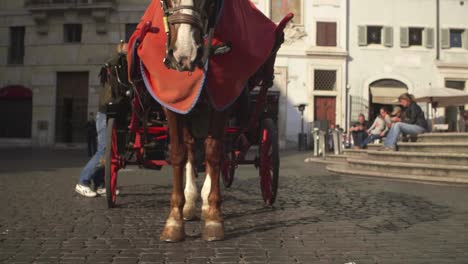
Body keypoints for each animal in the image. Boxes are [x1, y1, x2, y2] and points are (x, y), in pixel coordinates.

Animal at [128, 0, 292, 241]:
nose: (184, 55)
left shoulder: (221, 100)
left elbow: (213, 152)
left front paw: (214, 216)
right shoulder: (172, 102)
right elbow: (178, 154)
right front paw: (175, 219)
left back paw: (205, 201)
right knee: (190, 148)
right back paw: (190, 201)